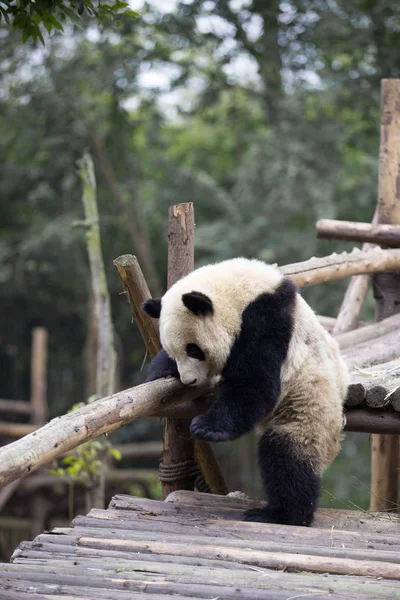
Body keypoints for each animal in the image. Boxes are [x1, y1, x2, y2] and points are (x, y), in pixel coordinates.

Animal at [142, 256, 348, 524]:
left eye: (194, 349)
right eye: (174, 351)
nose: (189, 381)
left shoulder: (267, 318)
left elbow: (255, 383)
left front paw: (207, 428)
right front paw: (160, 373)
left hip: (310, 404)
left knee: (288, 456)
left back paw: (281, 514)